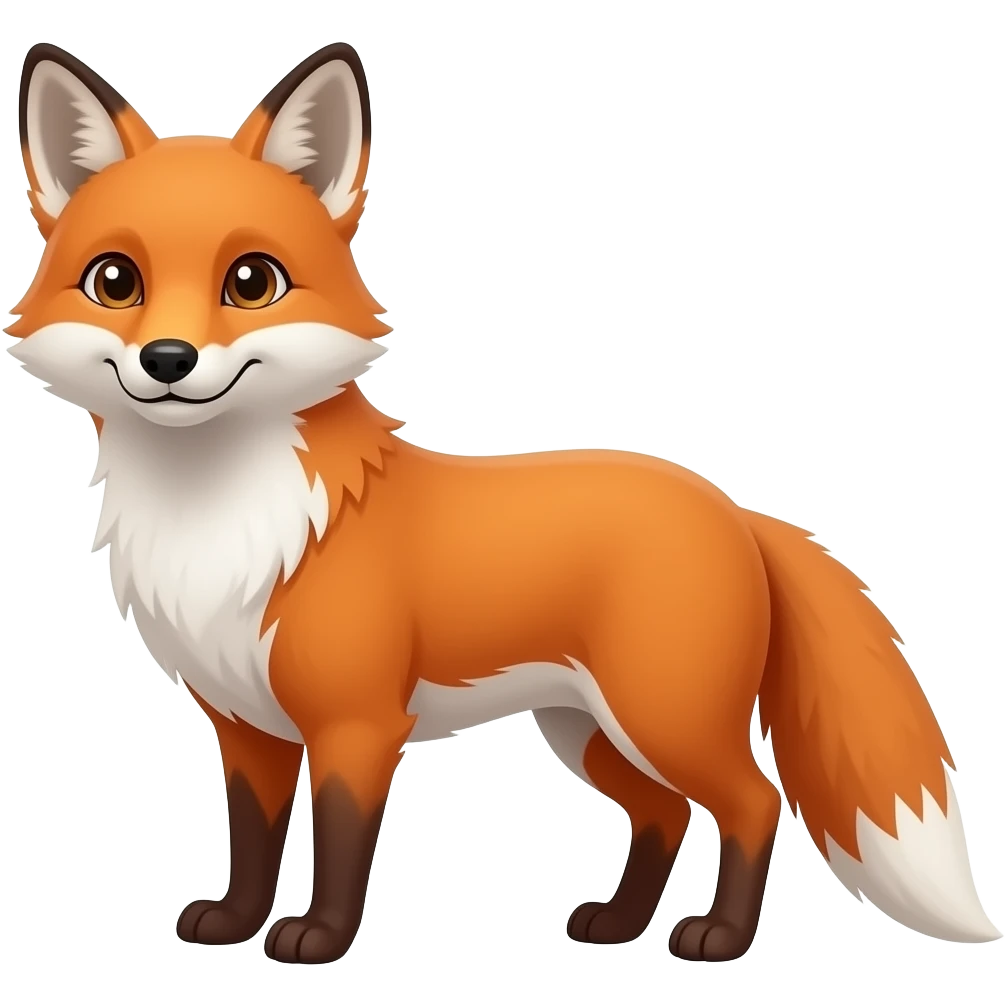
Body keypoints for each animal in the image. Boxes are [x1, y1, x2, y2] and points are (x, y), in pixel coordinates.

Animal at [7, 41, 1001, 965]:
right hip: (588, 732)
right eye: (115, 281)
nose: (167, 361)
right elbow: (251, 842)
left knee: (756, 802)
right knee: (666, 812)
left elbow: (340, 846)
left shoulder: (358, 724)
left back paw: (717, 937)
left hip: (662, 718)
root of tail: (734, 509)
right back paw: (618, 924)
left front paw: (319, 939)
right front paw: (233, 923)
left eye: (251, 281)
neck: (220, 517)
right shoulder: (247, 725)